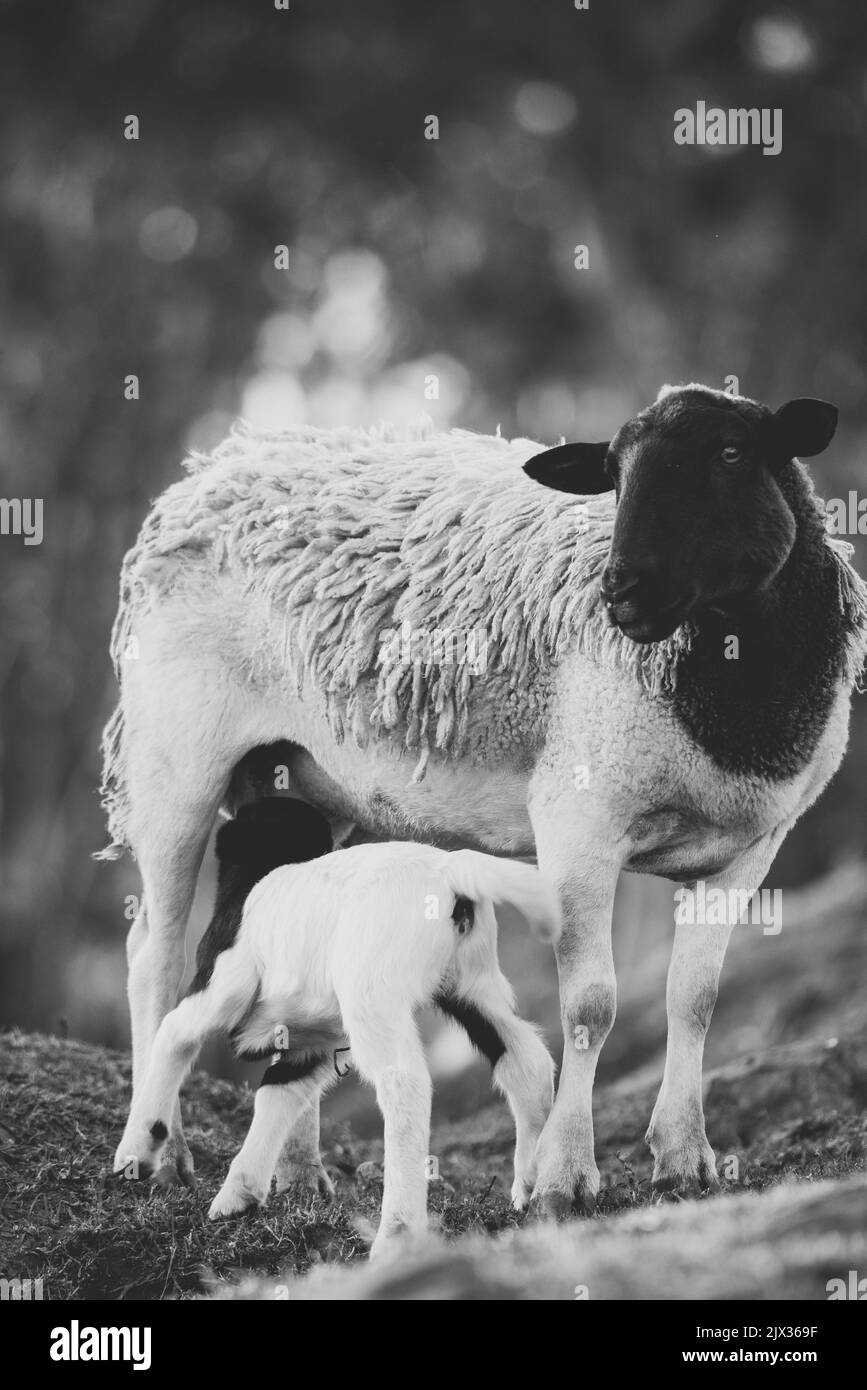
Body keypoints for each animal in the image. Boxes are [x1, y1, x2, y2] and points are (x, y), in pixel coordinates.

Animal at [115, 795, 558, 1262]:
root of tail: (451, 870)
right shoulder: (311, 1043)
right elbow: (277, 1095)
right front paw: (239, 1197)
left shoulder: (219, 988)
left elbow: (171, 1038)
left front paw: (137, 1153)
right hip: (472, 984)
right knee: (525, 1059)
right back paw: (529, 1185)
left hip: (372, 993)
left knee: (405, 1084)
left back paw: (397, 1235)